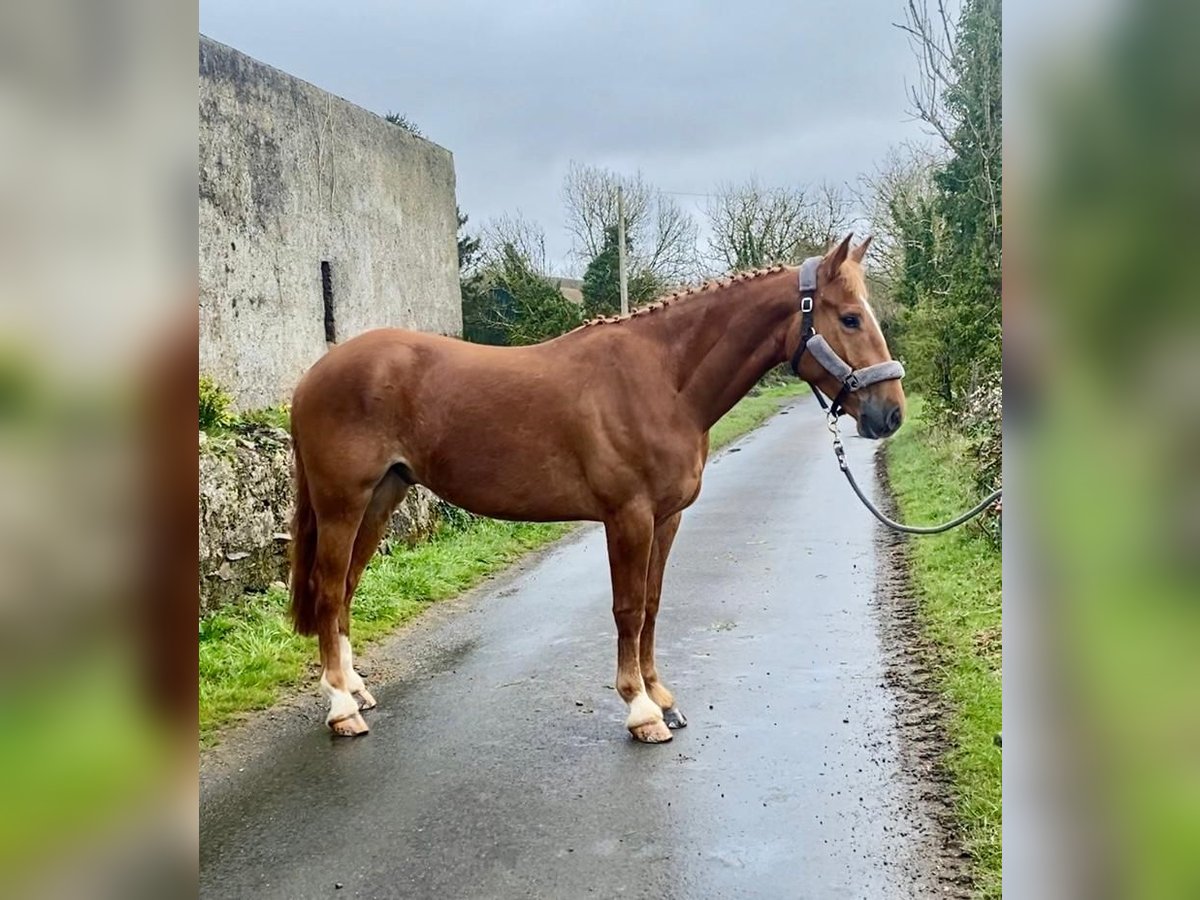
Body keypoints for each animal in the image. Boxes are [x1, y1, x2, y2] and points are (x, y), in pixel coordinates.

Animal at [290, 232, 902, 739]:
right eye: (850, 318)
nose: (890, 413)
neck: (663, 381)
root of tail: (313, 376)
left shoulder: (666, 518)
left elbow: (652, 604)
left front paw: (662, 697)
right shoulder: (627, 517)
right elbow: (627, 608)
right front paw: (640, 710)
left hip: (381, 499)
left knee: (346, 591)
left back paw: (356, 691)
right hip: (343, 503)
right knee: (328, 591)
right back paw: (341, 709)